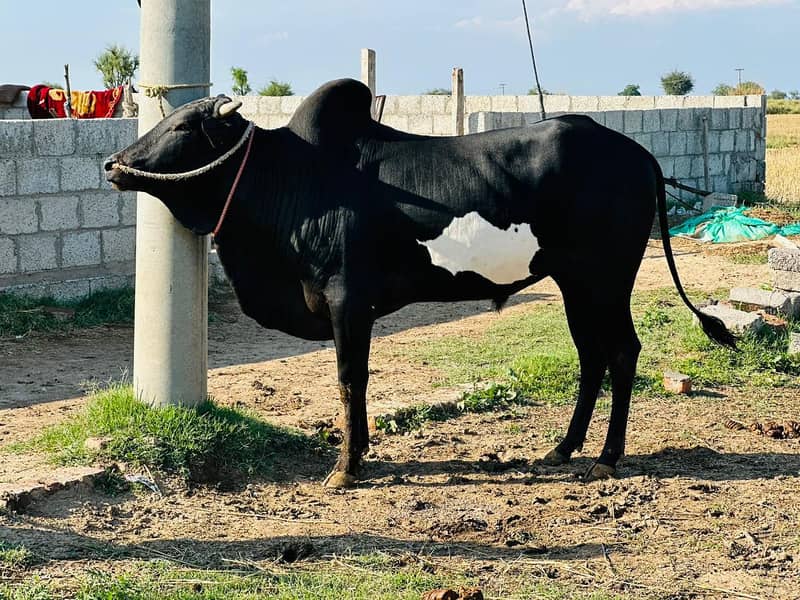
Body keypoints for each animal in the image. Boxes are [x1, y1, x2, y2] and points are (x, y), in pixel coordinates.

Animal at [105, 78, 734, 488]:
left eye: (182, 126)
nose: (113, 164)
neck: (293, 179)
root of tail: (637, 152)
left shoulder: (346, 301)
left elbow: (350, 381)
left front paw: (345, 468)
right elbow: (357, 384)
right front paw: (359, 455)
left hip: (605, 280)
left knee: (622, 352)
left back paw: (607, 457)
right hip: (574, 286)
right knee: (591, 356)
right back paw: (562, 449)